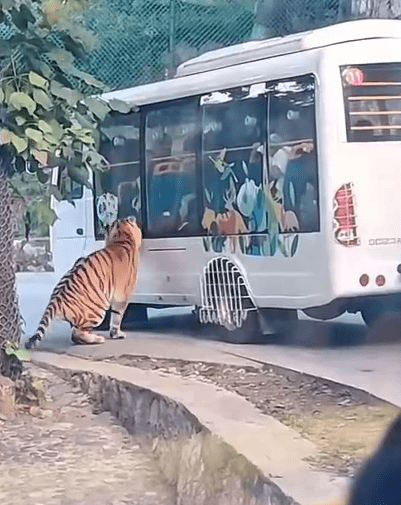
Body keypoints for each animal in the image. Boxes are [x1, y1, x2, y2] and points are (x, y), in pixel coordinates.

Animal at [24, 219, 141, 348]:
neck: (122, 239)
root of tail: (56, 299)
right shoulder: (122, 296)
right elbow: (117, 316)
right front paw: (117, 334)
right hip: (97, 310)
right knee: (77, 334)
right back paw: (98, 338)